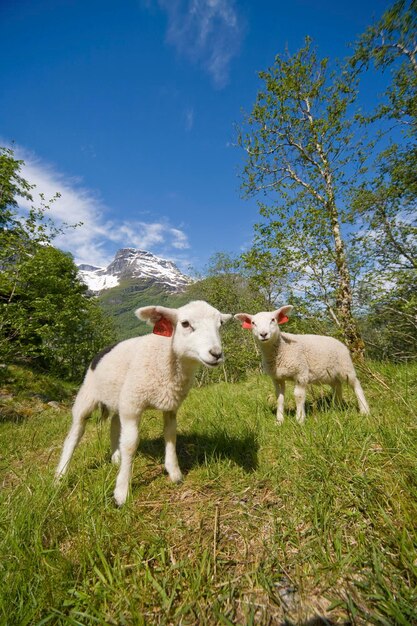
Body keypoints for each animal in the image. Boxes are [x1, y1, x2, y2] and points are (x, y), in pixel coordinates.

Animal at [54, 300, 231, 504]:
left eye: (221, 324)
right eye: (185, 324)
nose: (216, 354)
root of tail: (101, 352)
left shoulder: (170, 405)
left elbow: (170, 435)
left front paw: (174, 473)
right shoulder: (132, 406)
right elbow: (130, 444)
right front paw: (121, 492)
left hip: (119, 397)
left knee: (114, 424)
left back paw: (116, 458)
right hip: (88, 395)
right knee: (75, 433)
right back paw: (60, 475)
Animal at [236, 304, 368, 422]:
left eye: (273, 319)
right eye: (253, 323)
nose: (263, 334)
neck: (280, 350)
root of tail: (339, 342)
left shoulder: (301, 373)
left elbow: (298, 396)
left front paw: (300, 419)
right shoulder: (277, 378)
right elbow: (279, 398)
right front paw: (279, 420)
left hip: (346, 367)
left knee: (356, 385)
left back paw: (364, 410)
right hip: (330, 374)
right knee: (337, 386)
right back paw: (337, 407)